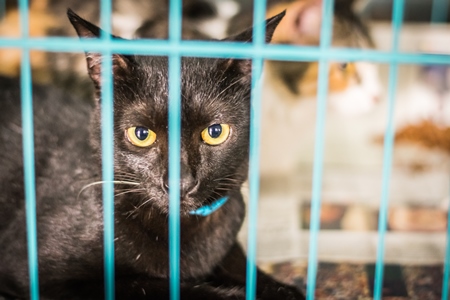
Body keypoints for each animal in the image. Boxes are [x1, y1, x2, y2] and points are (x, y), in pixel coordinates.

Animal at [0, 7, 304, 300]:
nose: (180, 182)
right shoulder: (39, 272)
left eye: (215, 132)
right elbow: (155, 286)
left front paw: (283, 289)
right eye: (141, 134)